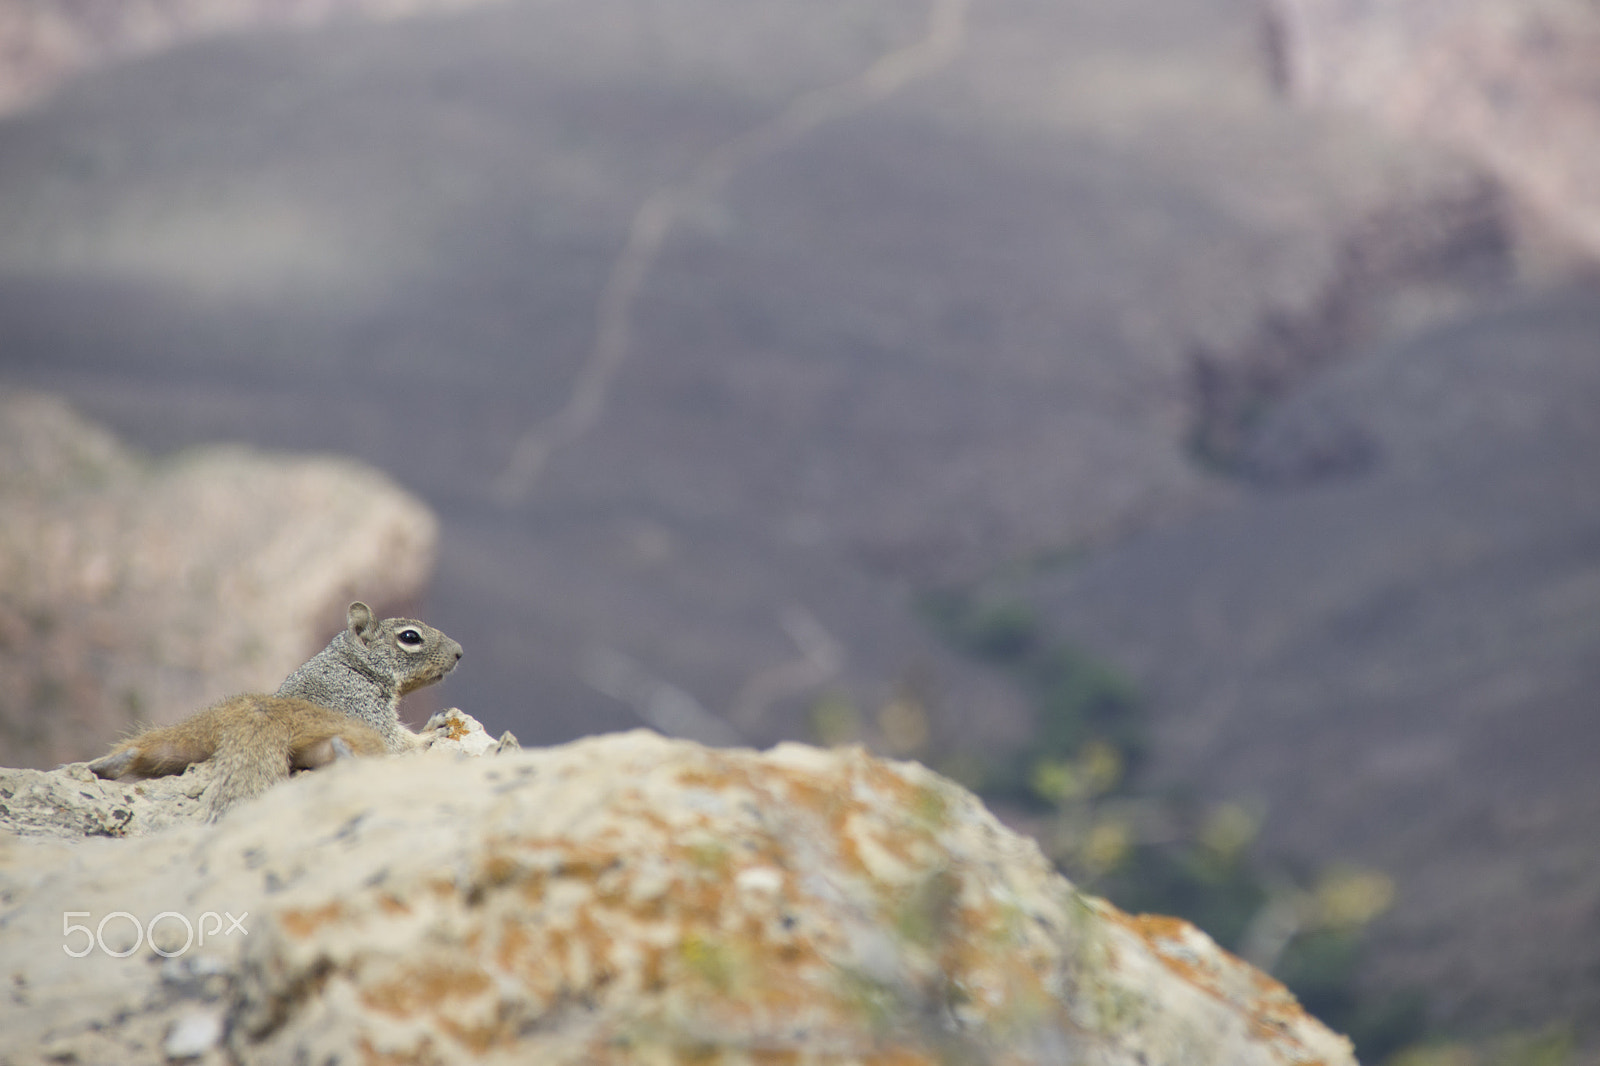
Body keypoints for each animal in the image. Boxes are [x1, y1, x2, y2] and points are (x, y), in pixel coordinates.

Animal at [89, 601, 463, 819]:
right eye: (410, 637)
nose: (460, 652)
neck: (352, 664)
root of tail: (259, 716)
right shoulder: (362, 706)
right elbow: (399, 740)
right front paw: (435, 730)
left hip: (199, 727)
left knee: (162, 746)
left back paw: (110, 764)